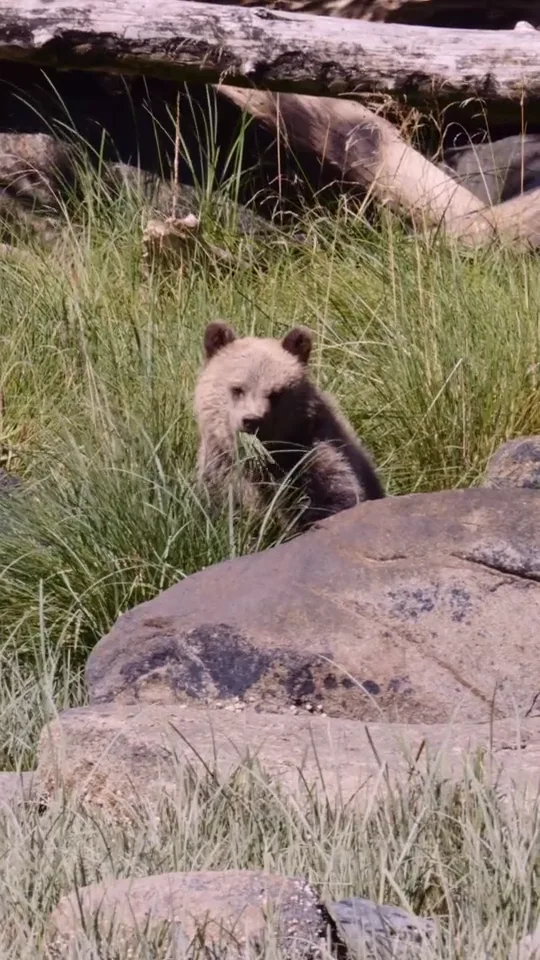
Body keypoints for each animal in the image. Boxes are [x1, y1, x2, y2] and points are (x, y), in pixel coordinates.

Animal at [194, 321, 385, 529]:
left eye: (275, 393)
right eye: (237, 389)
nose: (252, 420)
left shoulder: (307, 455)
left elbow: (331, 495)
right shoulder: (221, 467)